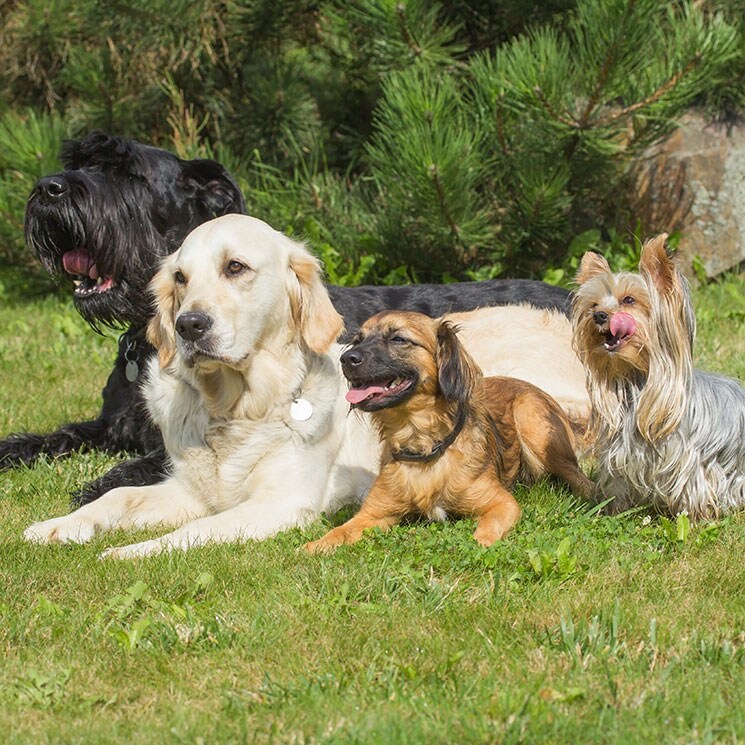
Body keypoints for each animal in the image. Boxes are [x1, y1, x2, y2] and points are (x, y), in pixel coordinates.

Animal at [2, 132, 568, 506]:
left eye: (127, 174)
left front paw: (98, 486)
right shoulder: (106, 425)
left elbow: (146, 463)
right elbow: (52, 436)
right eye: (78, 162)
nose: (49, 188)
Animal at [304, 310, 592, 552]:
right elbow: (341, 531)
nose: (346, 359)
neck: (421, 445)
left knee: (576, 474)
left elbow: (487, 528)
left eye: (398, 338)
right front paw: (314, 546)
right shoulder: (372, 514)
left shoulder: (502, 503)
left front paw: (480, 543)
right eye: (358, 340)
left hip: (532, 421)